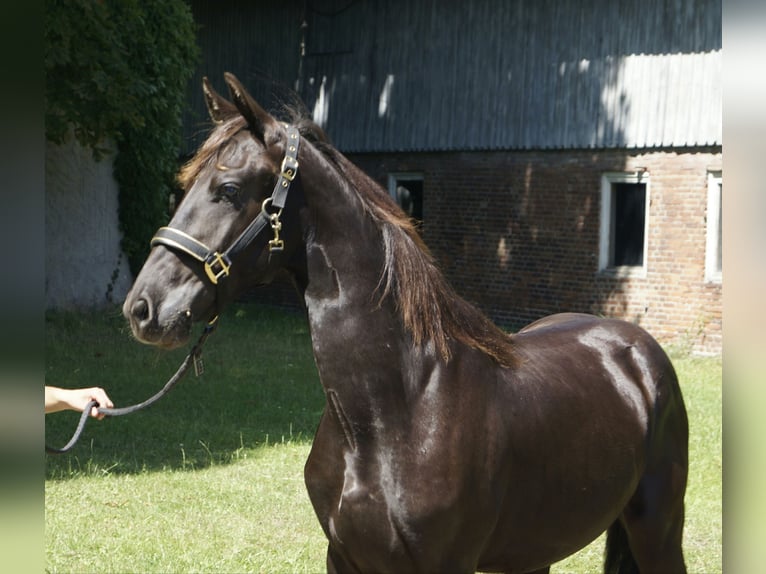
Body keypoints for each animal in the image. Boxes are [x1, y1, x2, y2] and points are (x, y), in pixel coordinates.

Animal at [123, 73, 688, 574]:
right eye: (185, 185)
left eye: (228, 188)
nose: (143, 307)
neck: (398, 408)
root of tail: (638, 348)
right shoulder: (344, 559)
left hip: (658, 532)